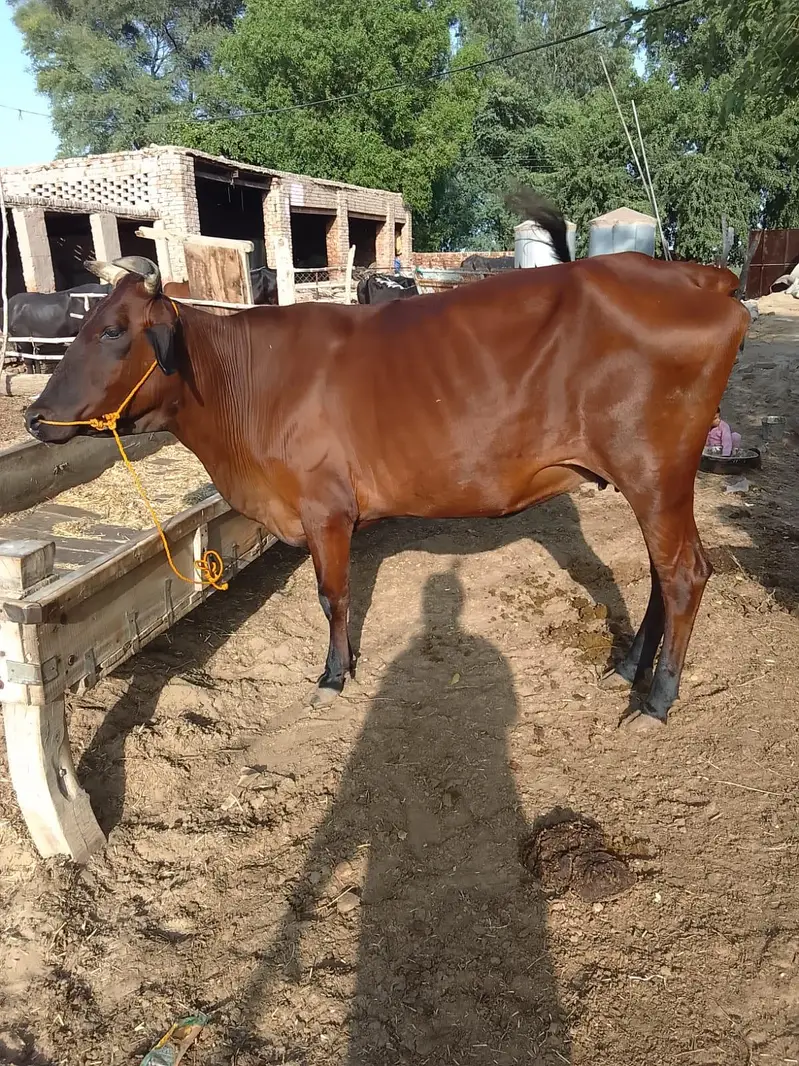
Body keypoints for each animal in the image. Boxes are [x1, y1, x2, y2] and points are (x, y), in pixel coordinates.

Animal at [25, 208, 751, 728]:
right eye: (83, 323)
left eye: (114, 329)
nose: (34, 416)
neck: (245, 384)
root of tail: (693, 276)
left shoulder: (324, 509)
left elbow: (333, 596)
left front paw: (332, 676)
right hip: (653, 481)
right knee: (661, 574)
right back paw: (629, 668)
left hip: (655, 472)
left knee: (684, 575)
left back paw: (655, 701)